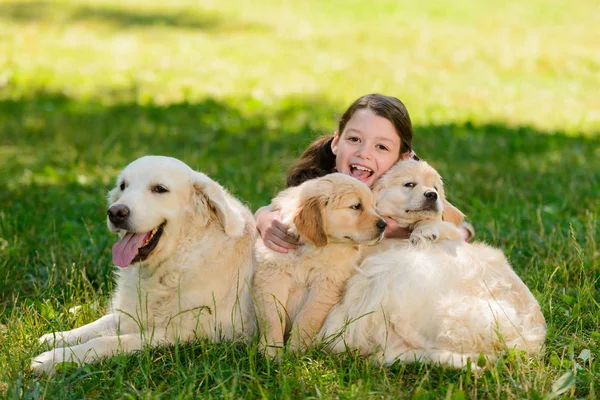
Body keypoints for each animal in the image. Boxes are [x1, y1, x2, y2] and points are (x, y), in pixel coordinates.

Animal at [31, 155, 255, 376]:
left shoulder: (181, 333)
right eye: (123, 186)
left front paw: (55, 358)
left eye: (160, 189)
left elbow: (107, 341)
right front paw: (57, 337)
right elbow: (99, 324)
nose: (116, 212)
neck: (179, 257)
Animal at [252, 174, 384, 356]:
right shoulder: (272, 277)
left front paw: (295, 352)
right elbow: (272, 316)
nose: (384, 225)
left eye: (374, 206)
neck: (312, 249)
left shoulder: (326, 286)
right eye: (356, 206)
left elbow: (307, 316)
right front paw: (271, 351)